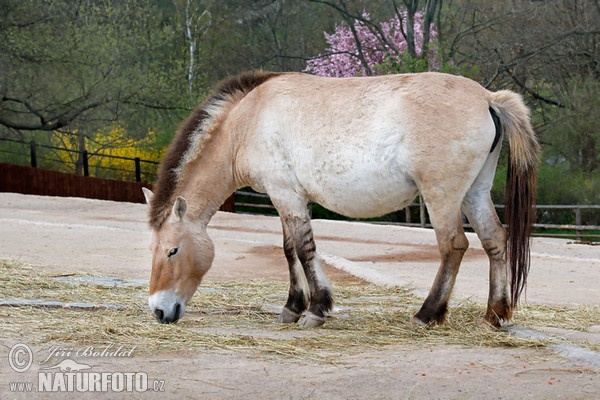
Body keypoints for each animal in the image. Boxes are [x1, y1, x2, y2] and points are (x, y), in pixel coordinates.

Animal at [143, 71, 540, 328]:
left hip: (441, 196)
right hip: (474, 193)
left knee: (453, 246)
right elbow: (290, 250)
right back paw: (494, 315)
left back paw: (427, 315)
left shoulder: (284, 194)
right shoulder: (289, 197)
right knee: (494, 240)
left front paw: (317, 309)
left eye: (172, 251)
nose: (159, 311)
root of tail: (488, 99)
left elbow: (304, 250)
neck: (248, 121)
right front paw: (292, 308)